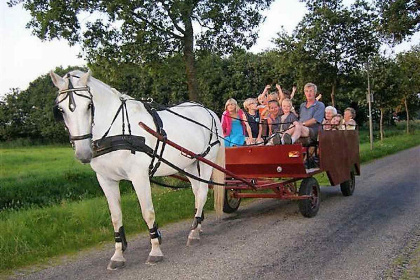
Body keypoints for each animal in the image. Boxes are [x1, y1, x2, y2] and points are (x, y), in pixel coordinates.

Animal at [50, 69, 225, 270]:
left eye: (89, 106)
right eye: (60, 110)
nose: (83, 153)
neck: (115, 131)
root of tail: (208, 110)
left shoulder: (139, 176)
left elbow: (147, 212)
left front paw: (155, 250)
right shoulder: (105, 179)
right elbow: (115, 217)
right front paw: (118, 254)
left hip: (207, 160)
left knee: (203, 192)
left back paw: (194, 232)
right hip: (188, 163)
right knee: (197, 192)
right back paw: (197, 224)